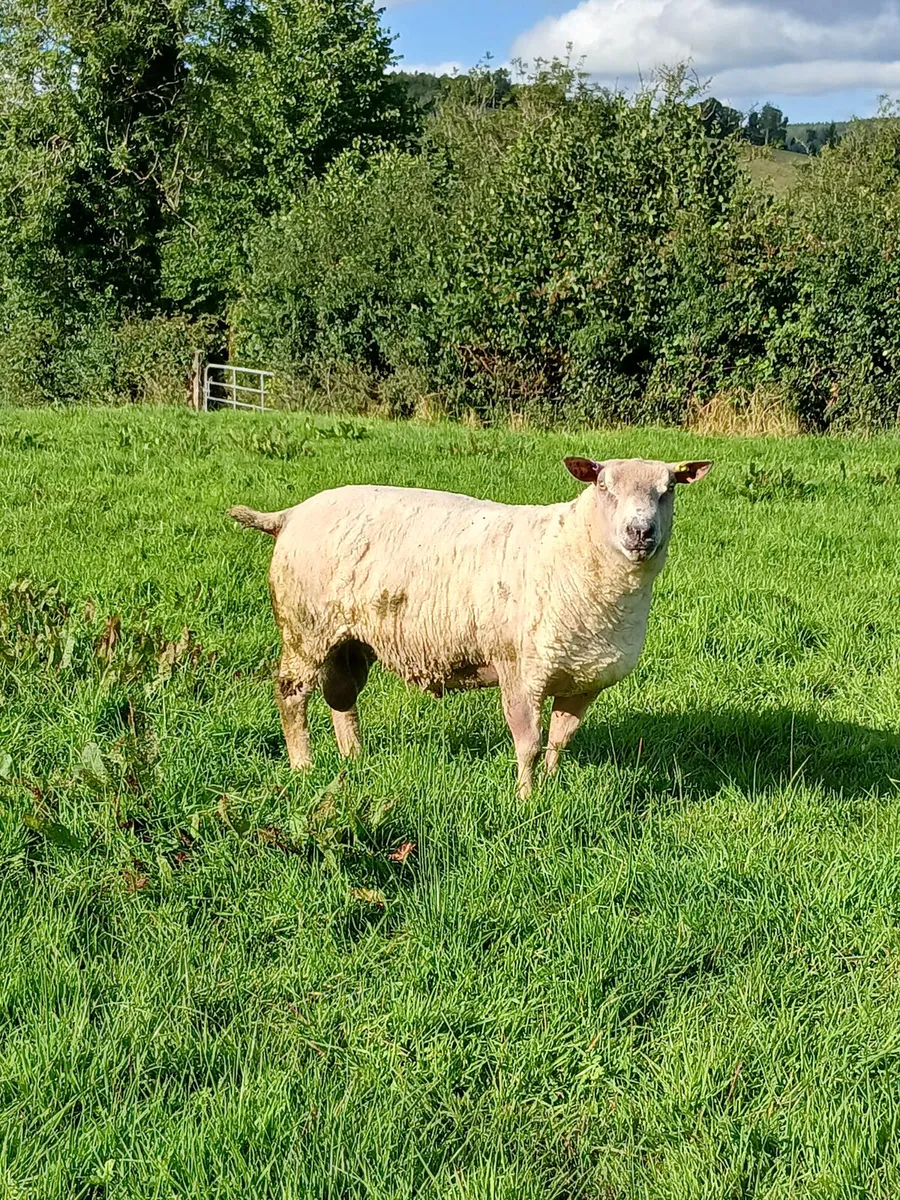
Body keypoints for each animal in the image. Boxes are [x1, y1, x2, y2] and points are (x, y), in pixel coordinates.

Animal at [230, 455, 712, 796]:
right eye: (603, 486)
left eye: (668, 490)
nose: (640, 532)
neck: (572, 551)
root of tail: (290, 515)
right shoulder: (520, 672)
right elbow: (529, 743)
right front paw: (525, 799)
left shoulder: (582, 681)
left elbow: (559, 741)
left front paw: (551, 786)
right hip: (304, 628)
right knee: (291, 694)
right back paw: (303, 765)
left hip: (347, 638)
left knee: (341, 697)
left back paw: (354, 758)